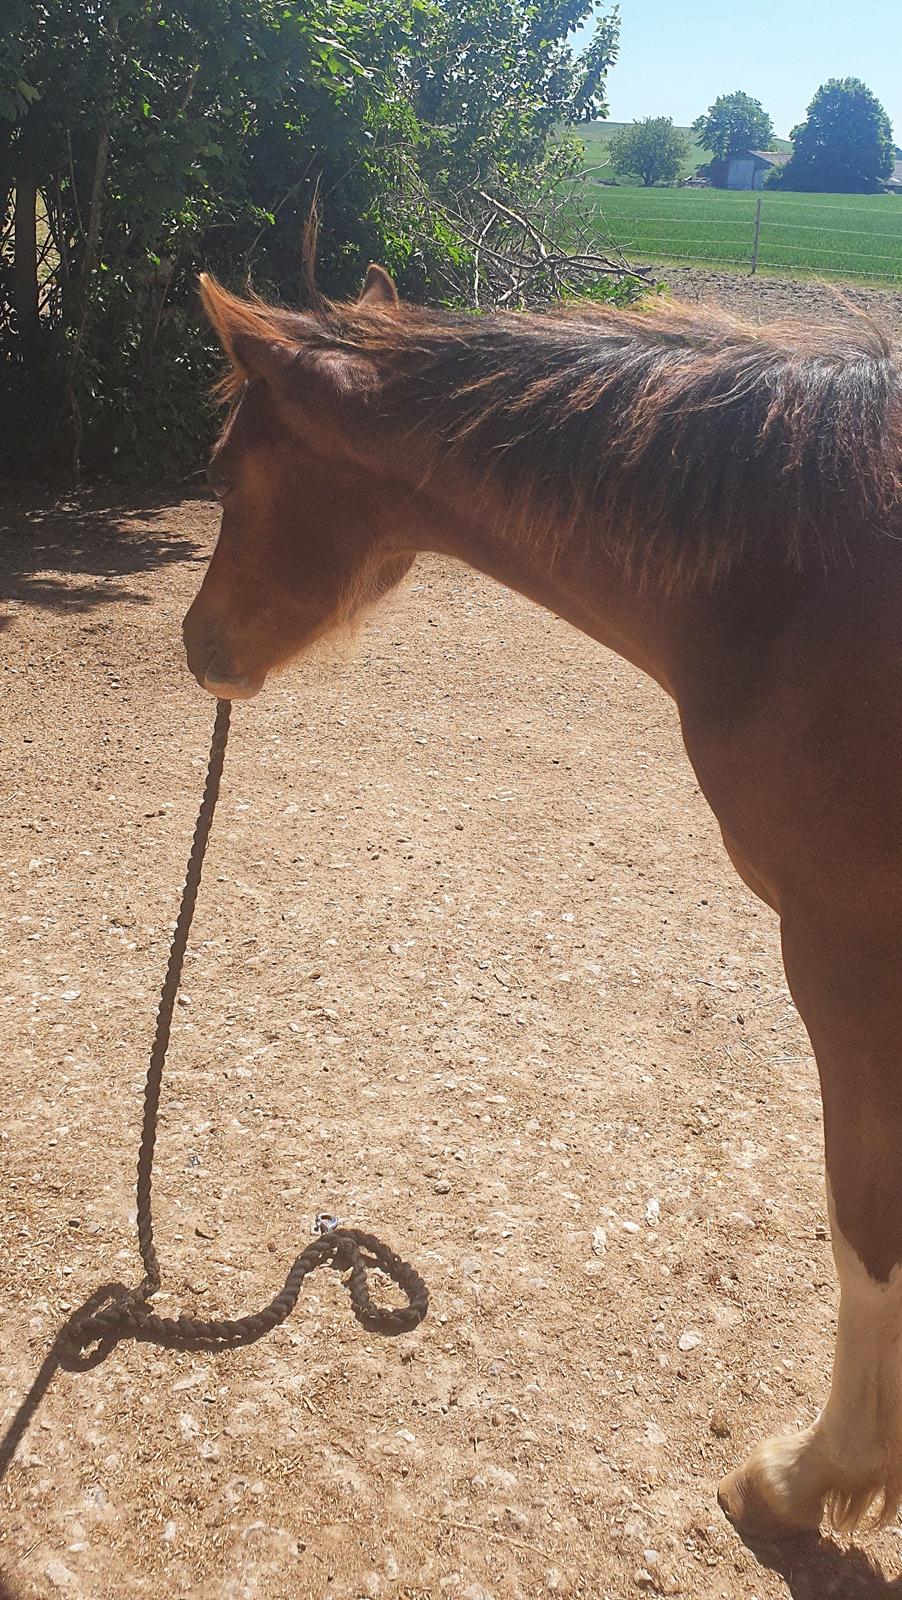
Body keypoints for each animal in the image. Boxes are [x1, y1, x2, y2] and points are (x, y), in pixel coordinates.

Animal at [184, 262, 902, 1541]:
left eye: (222, 474)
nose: (194, 643)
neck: (789, 582)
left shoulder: (843, 955)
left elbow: (861, 1222)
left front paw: (814, 1472)